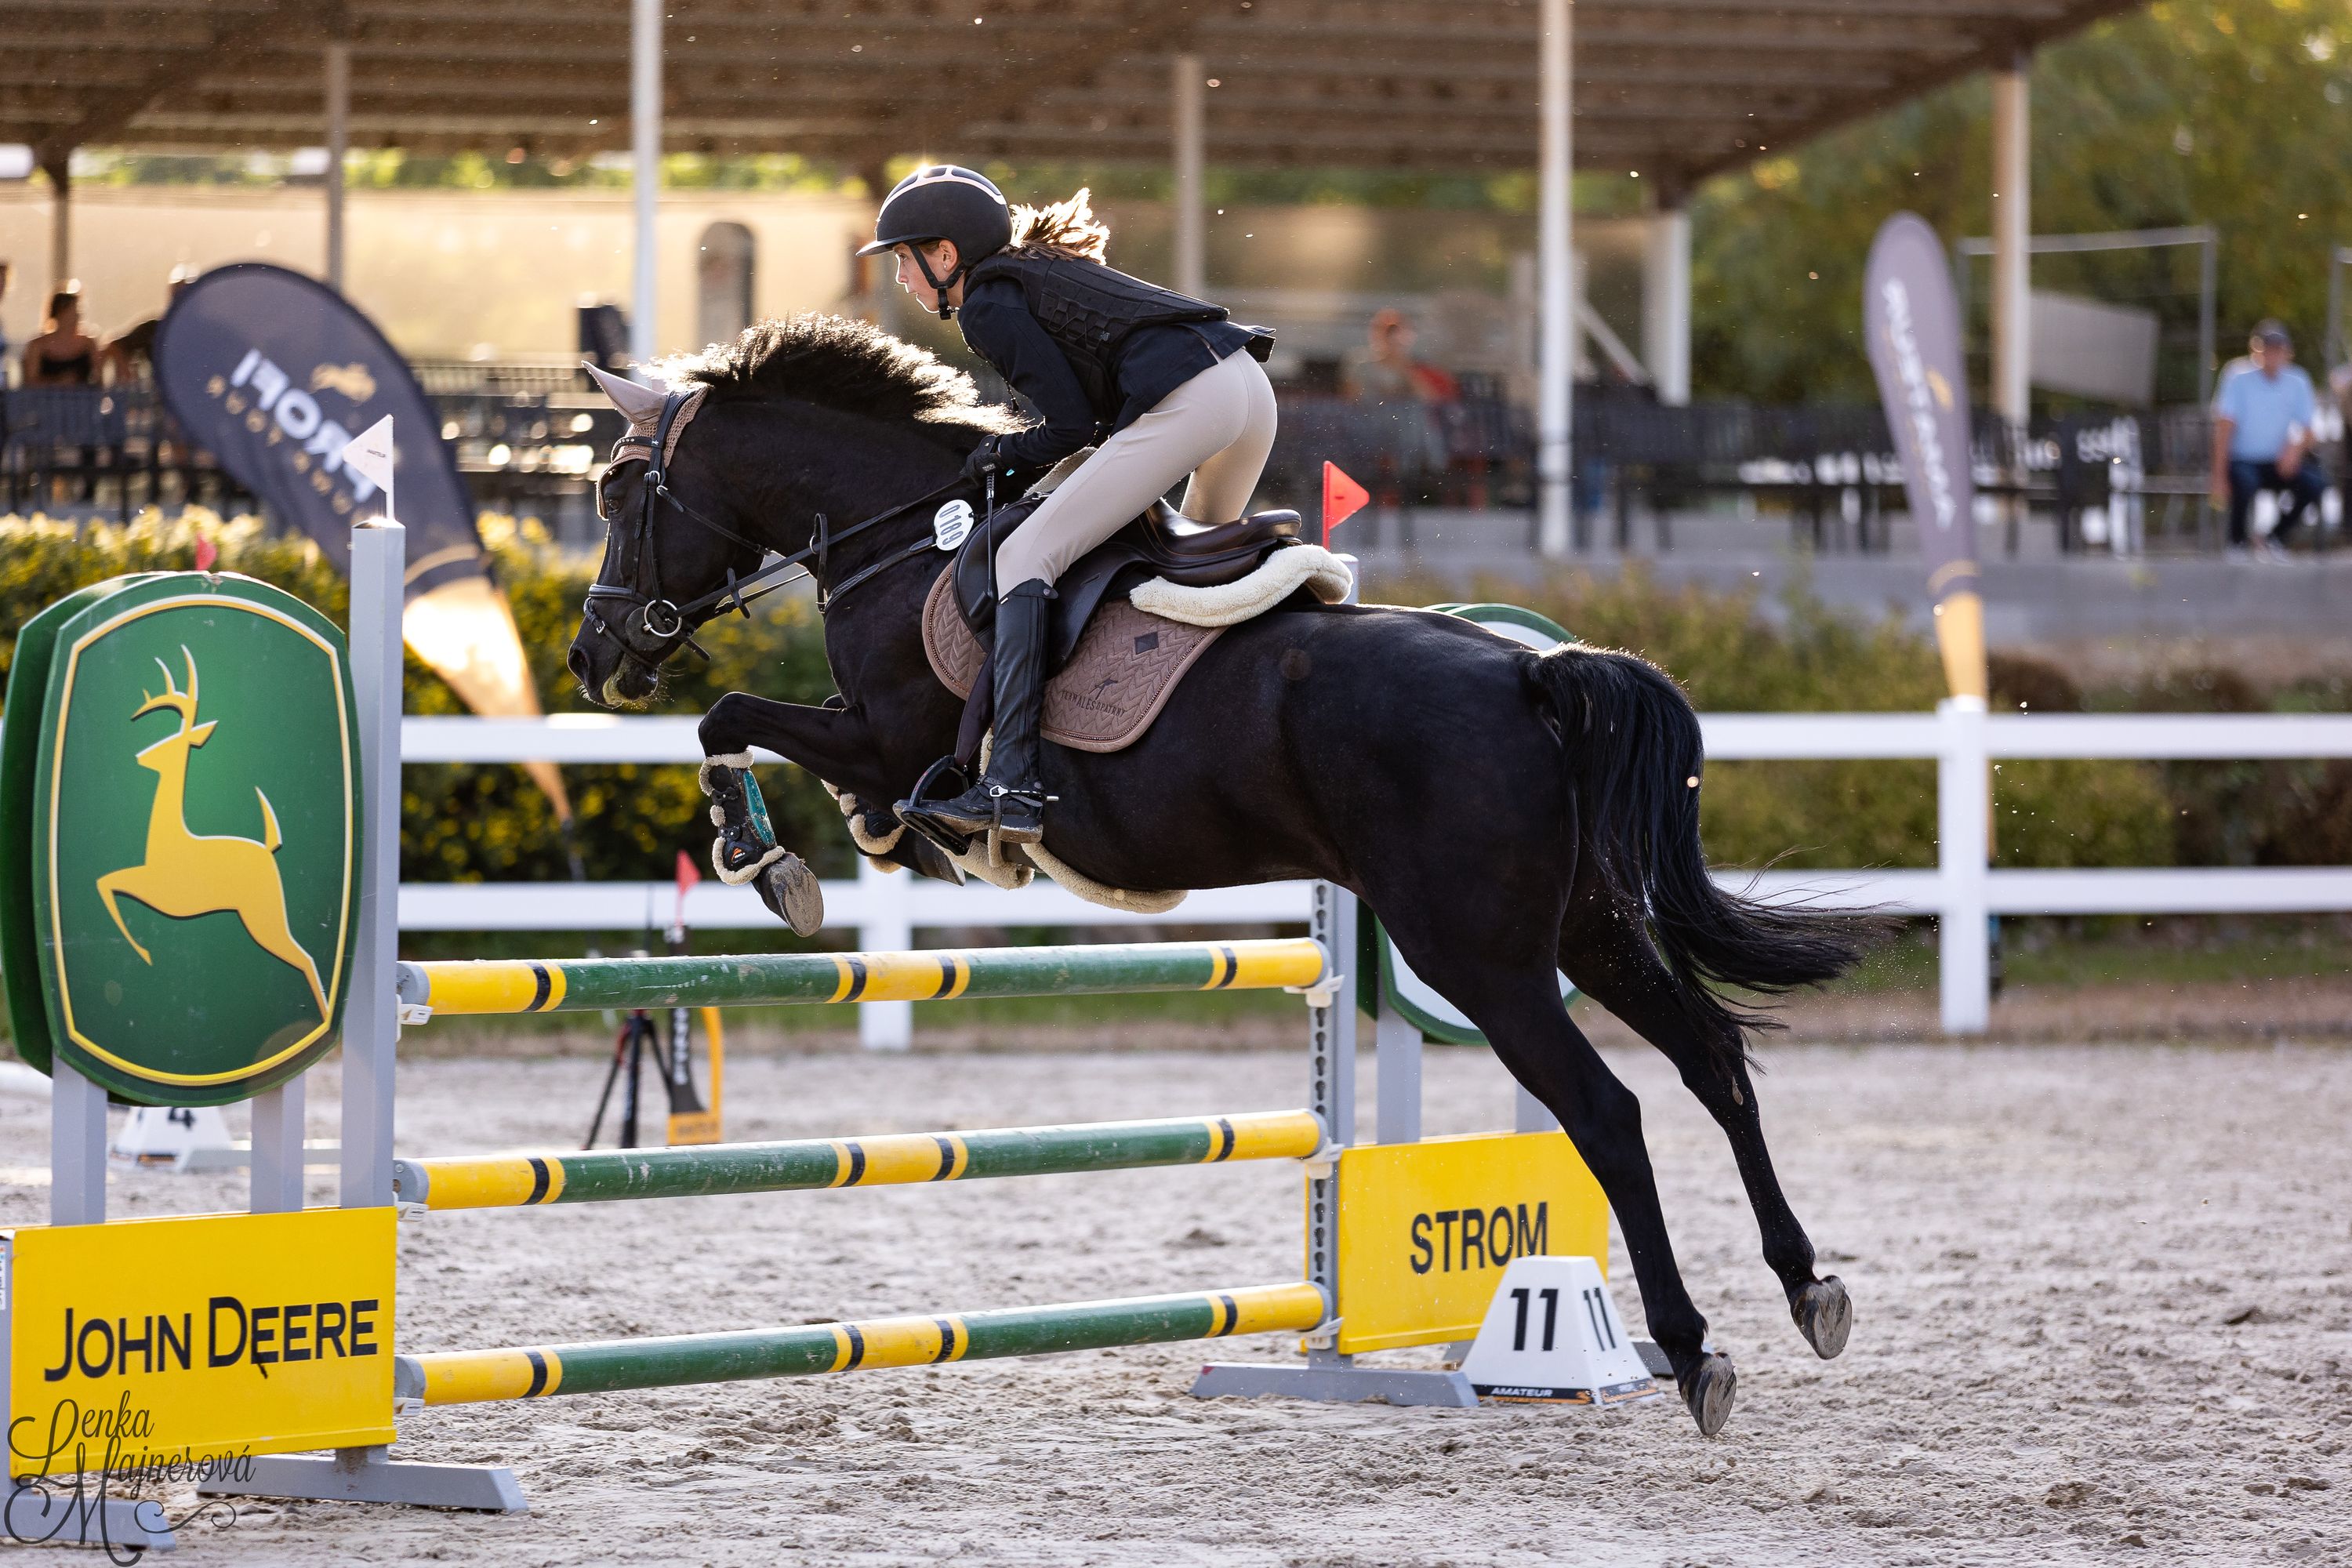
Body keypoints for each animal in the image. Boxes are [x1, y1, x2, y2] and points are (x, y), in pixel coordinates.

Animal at [564, 315, 1867, 1435]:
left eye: (619, 492)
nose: (593, 656)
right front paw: (885, 842)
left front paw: (772, 857)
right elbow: (838, 789)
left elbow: (733, 719)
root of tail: (1533, 674)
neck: (899, 536)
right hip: (1582, 928)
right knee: (1711, 1056)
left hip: (1477, 953)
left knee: (1606, 1109)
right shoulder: (873, 746)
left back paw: (1692, 1348)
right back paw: (1807, 1286)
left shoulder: (879, 731)